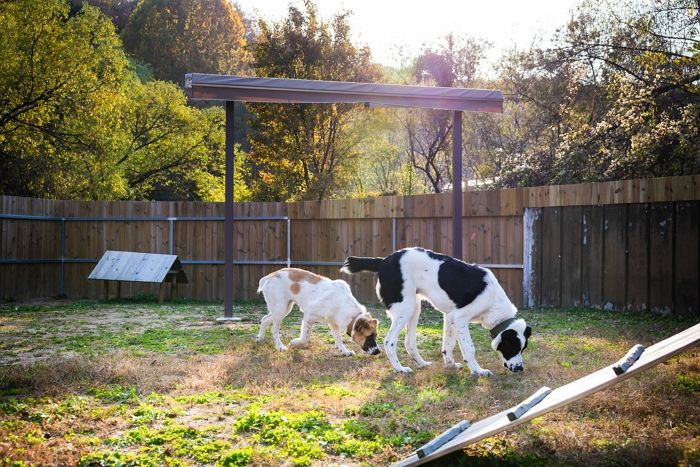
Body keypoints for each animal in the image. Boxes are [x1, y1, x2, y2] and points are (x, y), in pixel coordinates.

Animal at [340, 249, 532, 376]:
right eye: (513, 346)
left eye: (523, 348)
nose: (520, 369)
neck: (494, 301)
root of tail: (383, 261)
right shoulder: (460, 318)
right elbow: (469, 348)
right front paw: (478, 370)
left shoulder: (450, 317)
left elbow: (448, 345)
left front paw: (451, 365)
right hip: (405, 308)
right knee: (389, 341)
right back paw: (400, 369)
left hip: (414, 308)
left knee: (409, 342)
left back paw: (422, 363)